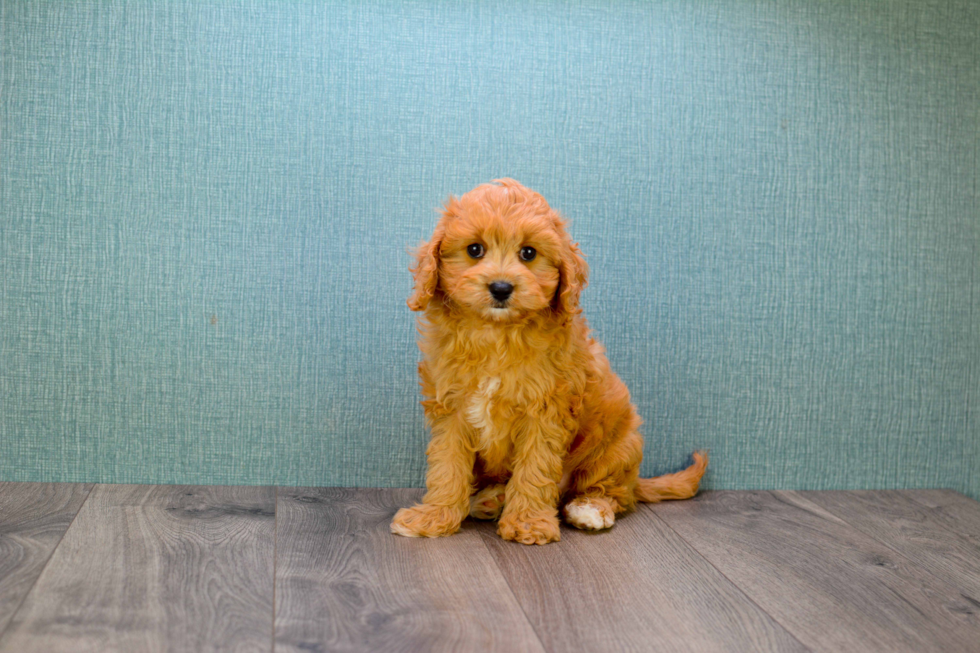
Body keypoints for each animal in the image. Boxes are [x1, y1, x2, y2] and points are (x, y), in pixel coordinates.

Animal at [390, 178, 704, 544]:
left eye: (528, 253)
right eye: (474, 250)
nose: (501, 287)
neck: (497, 334)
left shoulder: (546, 410)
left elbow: (535, 466)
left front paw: (528, 523)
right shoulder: (451, 408)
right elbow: (446, 465)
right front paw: (434, 517)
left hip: (616, 448)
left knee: (610, 491)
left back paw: (589, 509)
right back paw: (490, 499)